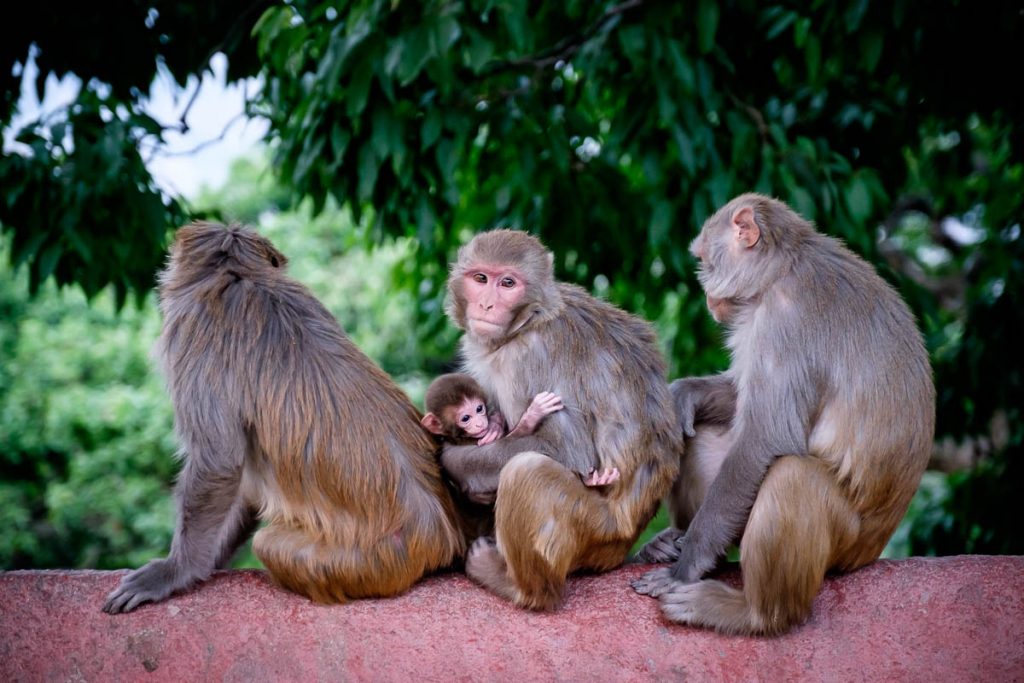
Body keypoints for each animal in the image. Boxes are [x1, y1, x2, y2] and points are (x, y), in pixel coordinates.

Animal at [101, 224, 462, 614]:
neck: (239, 275)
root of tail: (439, 535)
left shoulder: (190, 333)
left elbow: (219, 461)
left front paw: (178, 570)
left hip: (368, 561)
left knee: (268, 542)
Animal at [438, 228, 679, 610]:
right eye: (481, 279)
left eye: (508, 283)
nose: (486, 305)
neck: (531, 319)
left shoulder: (528, 358)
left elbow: (570, 450)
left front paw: (456, 463)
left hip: (596, 530)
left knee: (527, 471)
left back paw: (519, 586)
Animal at [630, 192, 937, 634]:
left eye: (704, 260)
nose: (706, 295)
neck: (782, 269)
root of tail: (873, 547)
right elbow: (739, 397)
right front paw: (683, 394)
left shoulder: (787, 317)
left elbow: (766, 437)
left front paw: (684, 571)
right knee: (701, 436)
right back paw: (676, 541)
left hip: (847, 542)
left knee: (793, 475)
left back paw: (753, 612)